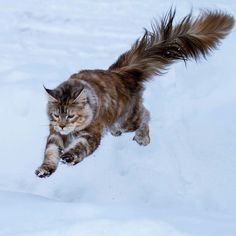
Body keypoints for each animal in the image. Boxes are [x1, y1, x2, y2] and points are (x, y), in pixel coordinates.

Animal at [35, 8, 234, 177]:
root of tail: (121, 72)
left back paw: (142, 138)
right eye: (56, 115)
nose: (62, 125)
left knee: (146, 116)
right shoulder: (54, 135)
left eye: (71, 116)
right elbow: (50, 152)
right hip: (118, 122)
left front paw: (69, 157)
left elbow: (80, 148)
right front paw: (45, 169)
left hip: (127, 119)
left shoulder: (91, 134)